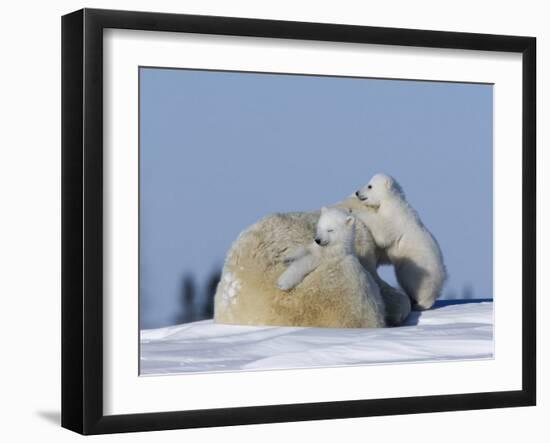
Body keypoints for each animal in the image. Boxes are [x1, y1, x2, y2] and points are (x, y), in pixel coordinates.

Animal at [352, 172, 450, 310]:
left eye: (370, 186)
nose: (357, 192)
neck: (393, 201)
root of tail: (443, 277)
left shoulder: (394, 219)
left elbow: (382, 232)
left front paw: (355, 212)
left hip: (420, 272)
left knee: (421, 288)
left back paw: (420, 304)